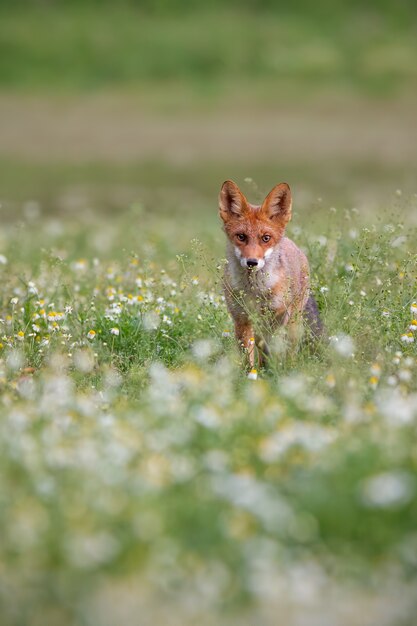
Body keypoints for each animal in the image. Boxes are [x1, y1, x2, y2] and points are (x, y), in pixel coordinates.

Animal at [218, 178, 322, 368]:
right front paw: (249, 373)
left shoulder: (277, 317)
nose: (252, 262)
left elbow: (268, 348)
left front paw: (269, 370)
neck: (254, 290)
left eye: (265, 238)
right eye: (241, 236)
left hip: (293, 322)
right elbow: (247, 354)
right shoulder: (241, 318)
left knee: (289, 350)